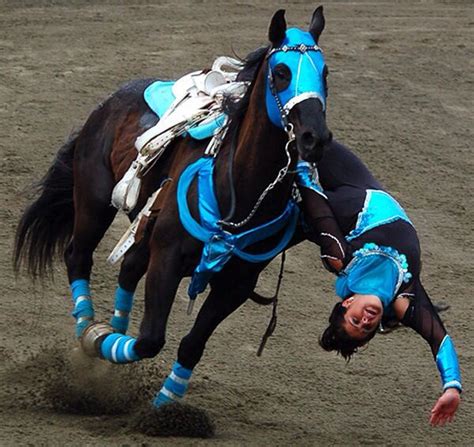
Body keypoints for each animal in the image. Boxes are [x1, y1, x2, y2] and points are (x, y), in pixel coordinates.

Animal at [15, 7, 334, 412]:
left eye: (325, 73)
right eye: (281, 73)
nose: (315, 138)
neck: (238, 185)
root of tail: (109, 102)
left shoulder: (236, 284)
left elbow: (191, 345)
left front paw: (164, 409)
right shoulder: (166, 258)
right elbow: (150, 339)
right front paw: (101, 343)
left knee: (130, 266)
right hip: (93, 202)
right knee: (78, 256)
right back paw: (89, 327)